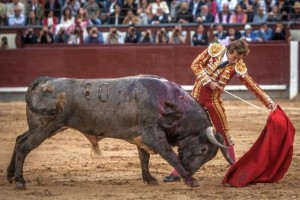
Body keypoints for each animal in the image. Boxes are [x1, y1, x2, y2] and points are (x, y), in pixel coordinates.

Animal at [7, 74, 232, 188]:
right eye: (203, 150)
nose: (188, 172)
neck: (169, 103)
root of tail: (44, 81)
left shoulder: (142, 137)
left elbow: (144, 159)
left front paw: (149, 179)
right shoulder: (153, 135)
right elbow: (171, 156)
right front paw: (191, 180)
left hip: (42, 127)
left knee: (19, 140)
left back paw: (10, 176)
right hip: (45, 127)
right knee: (24, 146)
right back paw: (20, 181)